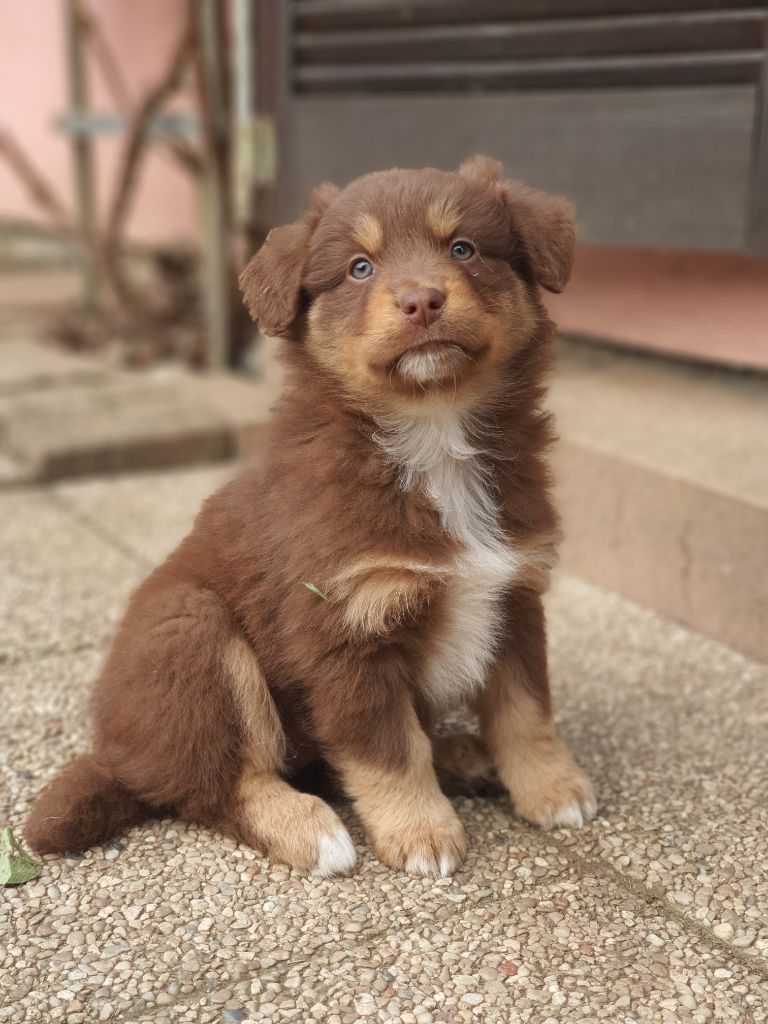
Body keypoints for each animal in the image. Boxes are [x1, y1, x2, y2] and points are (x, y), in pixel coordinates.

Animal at [26, 155, 596, 877]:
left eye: (463, 248)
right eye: (359, 267)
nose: (422, 300)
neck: (433, 434)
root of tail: (121, 753)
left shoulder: (514, 593)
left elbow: (526, 709)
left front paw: (553, 787)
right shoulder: (346, 626)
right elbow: (388, 747)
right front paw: (422, 831)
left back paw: (461, 755)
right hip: (193, 629)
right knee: (218, 784)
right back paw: (311, 828)